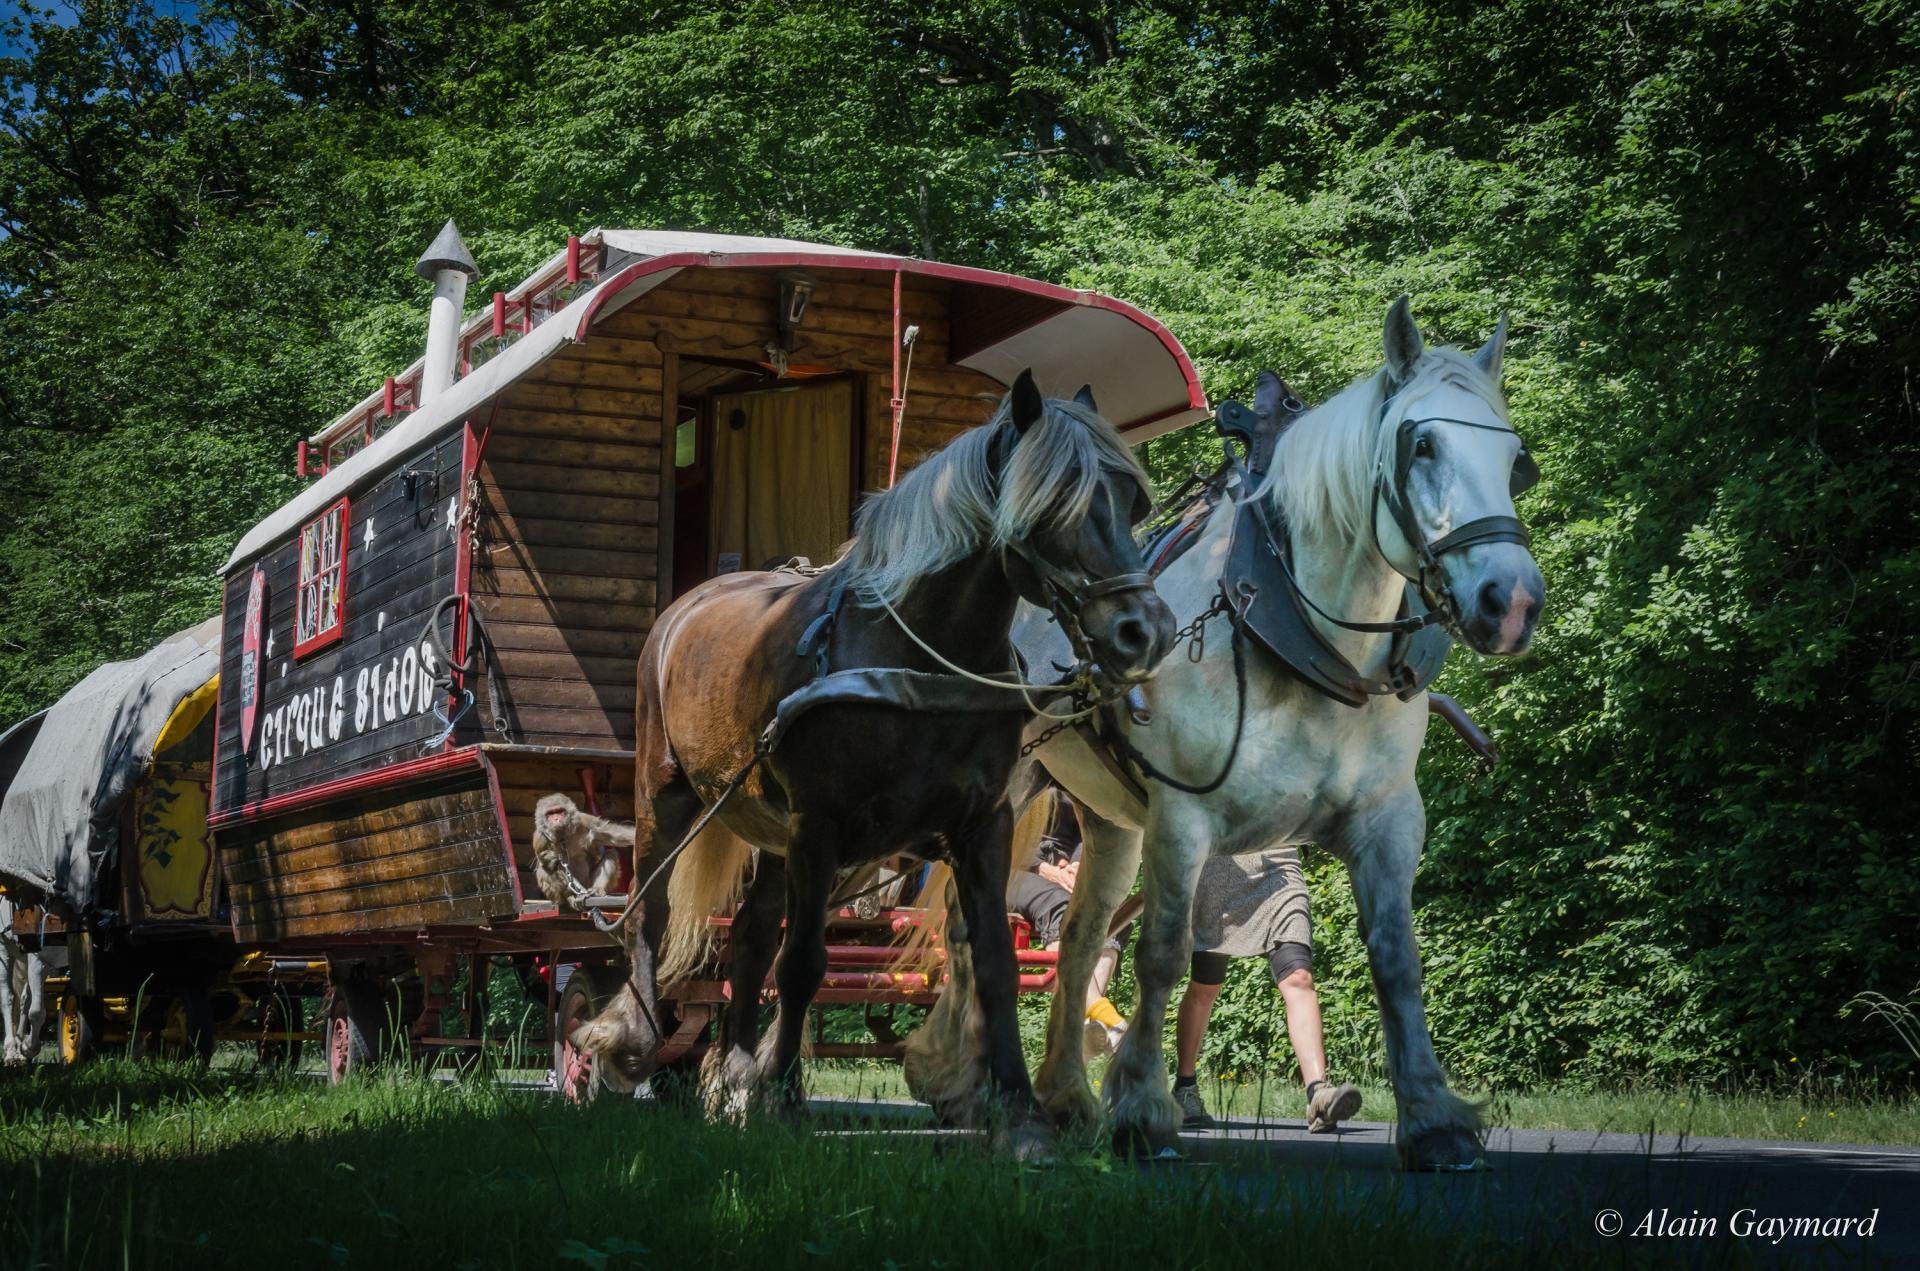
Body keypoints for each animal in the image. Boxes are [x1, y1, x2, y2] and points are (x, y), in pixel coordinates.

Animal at [568, 374, 1167, 1159]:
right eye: (1054, 505)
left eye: (1132, 501)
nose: (1142, 631)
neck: (914, 660)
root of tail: (689, 604)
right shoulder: (821, 825)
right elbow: (803, 964)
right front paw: (786, 1099)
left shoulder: (982, 826)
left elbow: (996, 967)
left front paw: (1022, 1117)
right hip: (665, 796)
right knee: (652, 912)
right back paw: (635, 1044)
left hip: (774, 831)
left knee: (749, 939)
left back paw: (735, 1077)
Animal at [910, 299, 1543, 1175]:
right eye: (1422, 446)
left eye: (1516, 459)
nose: (1511, 601)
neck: (1299, 628)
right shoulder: (1184, 817)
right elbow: (1162, 954)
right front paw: (1142, 1110)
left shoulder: (1387, 817)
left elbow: (1396, 957)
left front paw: (1432, 1116)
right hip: (1006, 790)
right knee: (974, 932)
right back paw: (965, 1085)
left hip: (1107, 820)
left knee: (1077, 941)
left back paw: (1063, 1096)